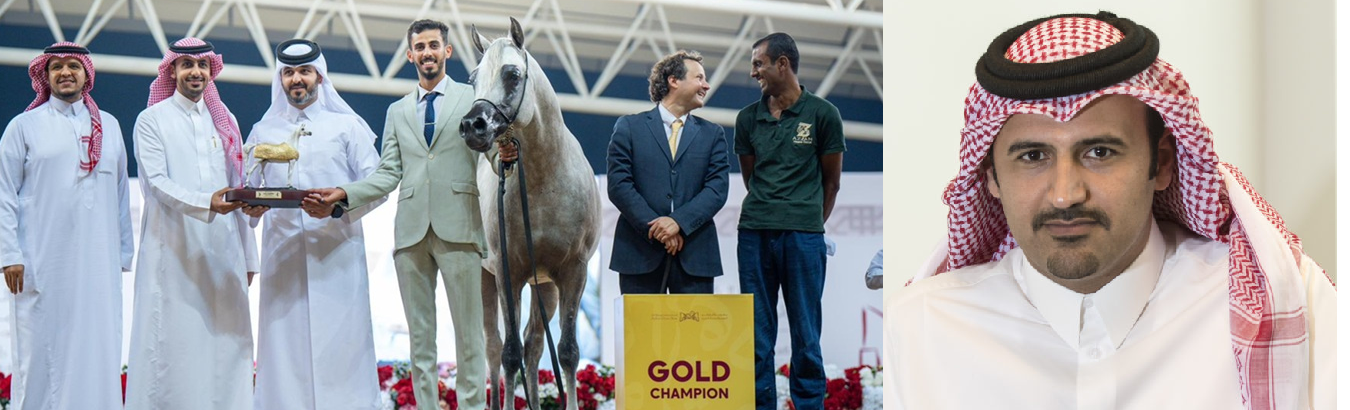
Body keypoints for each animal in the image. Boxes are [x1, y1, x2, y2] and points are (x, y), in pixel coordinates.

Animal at [459, 17, 600, 410]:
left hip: (545, 288)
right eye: (473, 78)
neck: (544, 179)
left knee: (535, 345)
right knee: (495, 348)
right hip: (487, 280)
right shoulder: (511, 273)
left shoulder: (573, 273)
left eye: (511, 74)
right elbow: (509, 354)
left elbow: (566, 352)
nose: (472, 126)